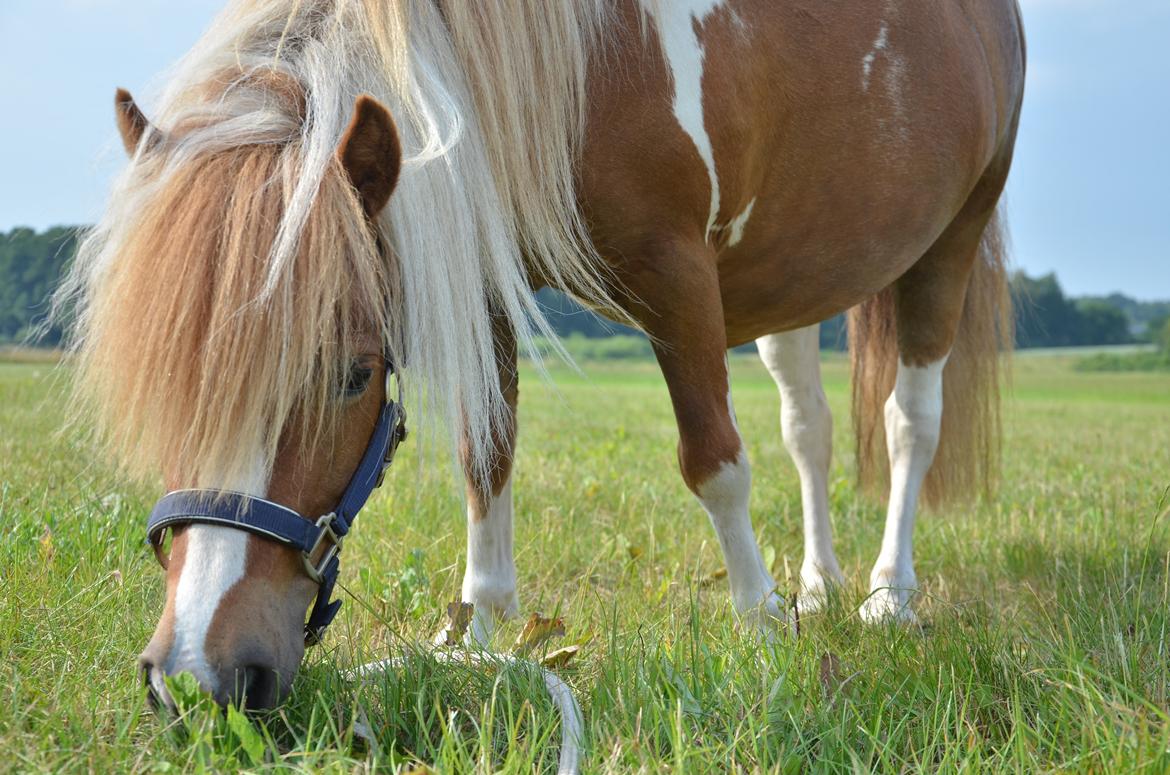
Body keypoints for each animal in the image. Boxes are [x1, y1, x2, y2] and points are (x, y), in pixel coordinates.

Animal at [57, 0, 1024, 711]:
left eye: (354, 374)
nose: (194, 676)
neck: (594, 62)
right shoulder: (487, 272)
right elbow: (486, 454)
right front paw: (483, 632)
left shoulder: (678, 274)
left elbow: (714, 462)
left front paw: (759, 627)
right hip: (794, 274)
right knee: (808, 426)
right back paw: (820, 583)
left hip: (951, 240)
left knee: (910, 422)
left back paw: (888, 594)